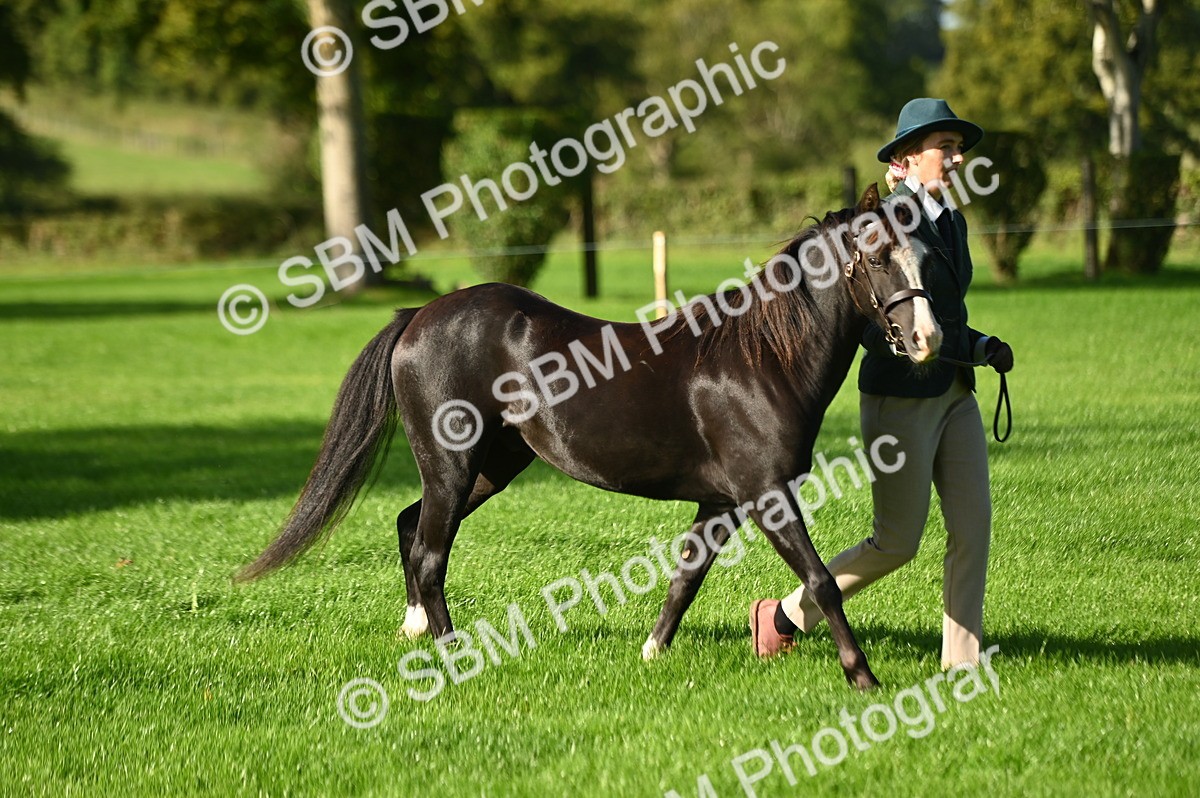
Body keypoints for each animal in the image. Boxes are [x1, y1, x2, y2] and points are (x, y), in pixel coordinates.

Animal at [235, 184, 940, 690]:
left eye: (926, 256)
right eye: (879, 256)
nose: (928, 338)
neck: (760, 360)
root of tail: (417, 318)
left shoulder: (719, 503)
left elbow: (686, 577)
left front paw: (652, 653)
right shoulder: (767, 494)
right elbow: (822, 582)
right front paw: (865, 679)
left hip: (492, 466)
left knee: (412, 526)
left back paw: (413, 629)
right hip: (452, 464)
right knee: (432, 552)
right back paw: (452, 651)